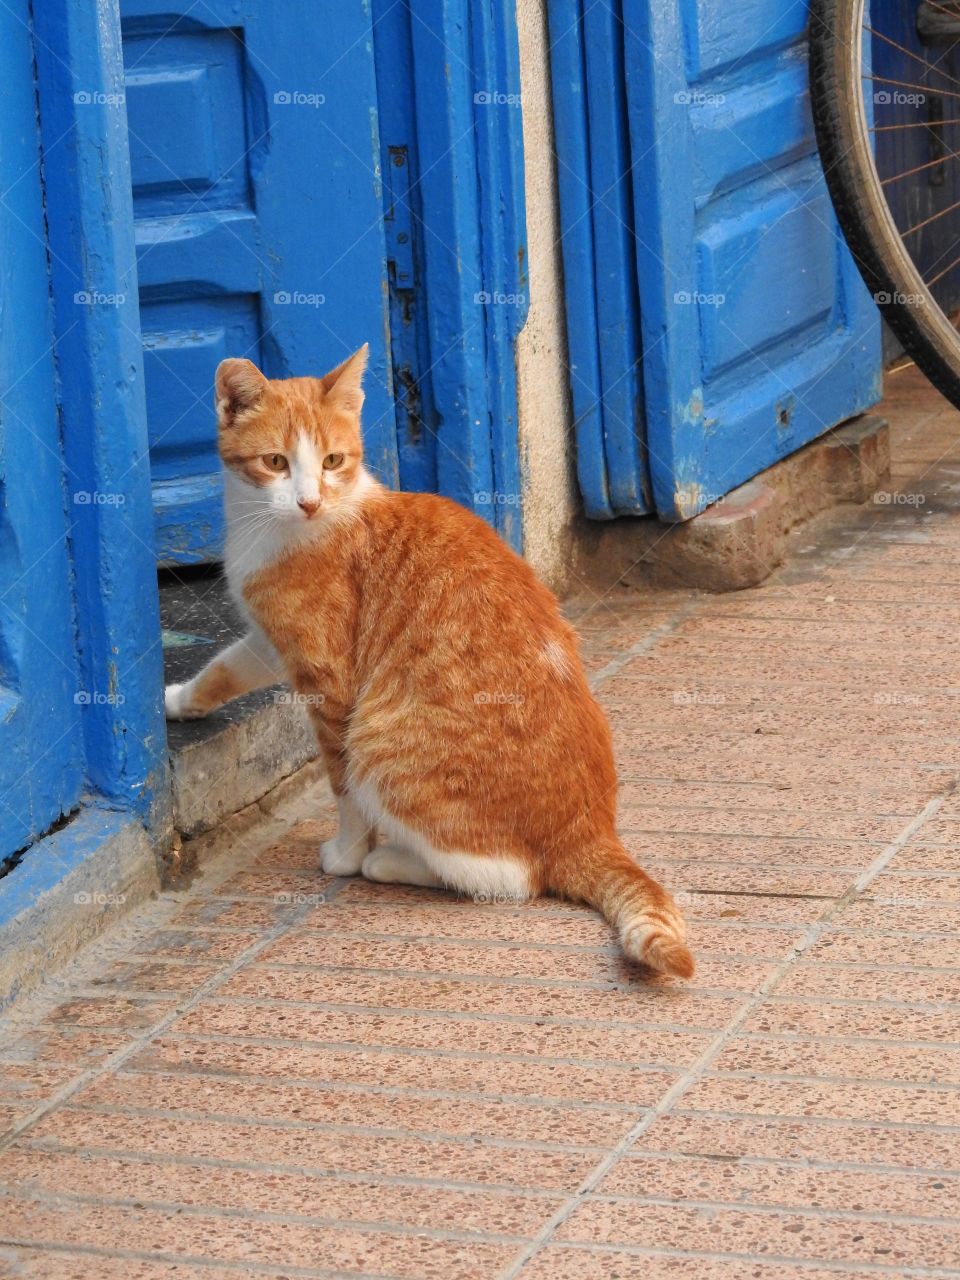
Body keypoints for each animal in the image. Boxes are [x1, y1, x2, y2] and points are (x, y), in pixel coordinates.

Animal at [163, 345, 691, 972]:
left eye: (333, 461)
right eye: (274, 462)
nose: (310, 501)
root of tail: (591, 830)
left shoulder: (328, 680)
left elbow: (342, 788)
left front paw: (347, 851)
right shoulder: (271, 642)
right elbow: (224, 668)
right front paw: (178, 700)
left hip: (383, 745)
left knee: (511, 879)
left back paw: (390, 861)